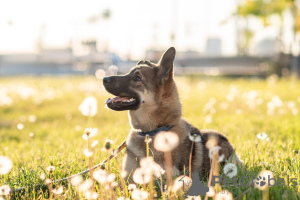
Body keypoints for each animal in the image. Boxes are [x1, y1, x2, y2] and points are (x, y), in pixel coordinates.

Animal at [104, 47, 243, 183]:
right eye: (129, 73)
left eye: (137, 78)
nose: (104, 79)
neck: (151, 132)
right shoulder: (126, 178)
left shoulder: (168, 177)